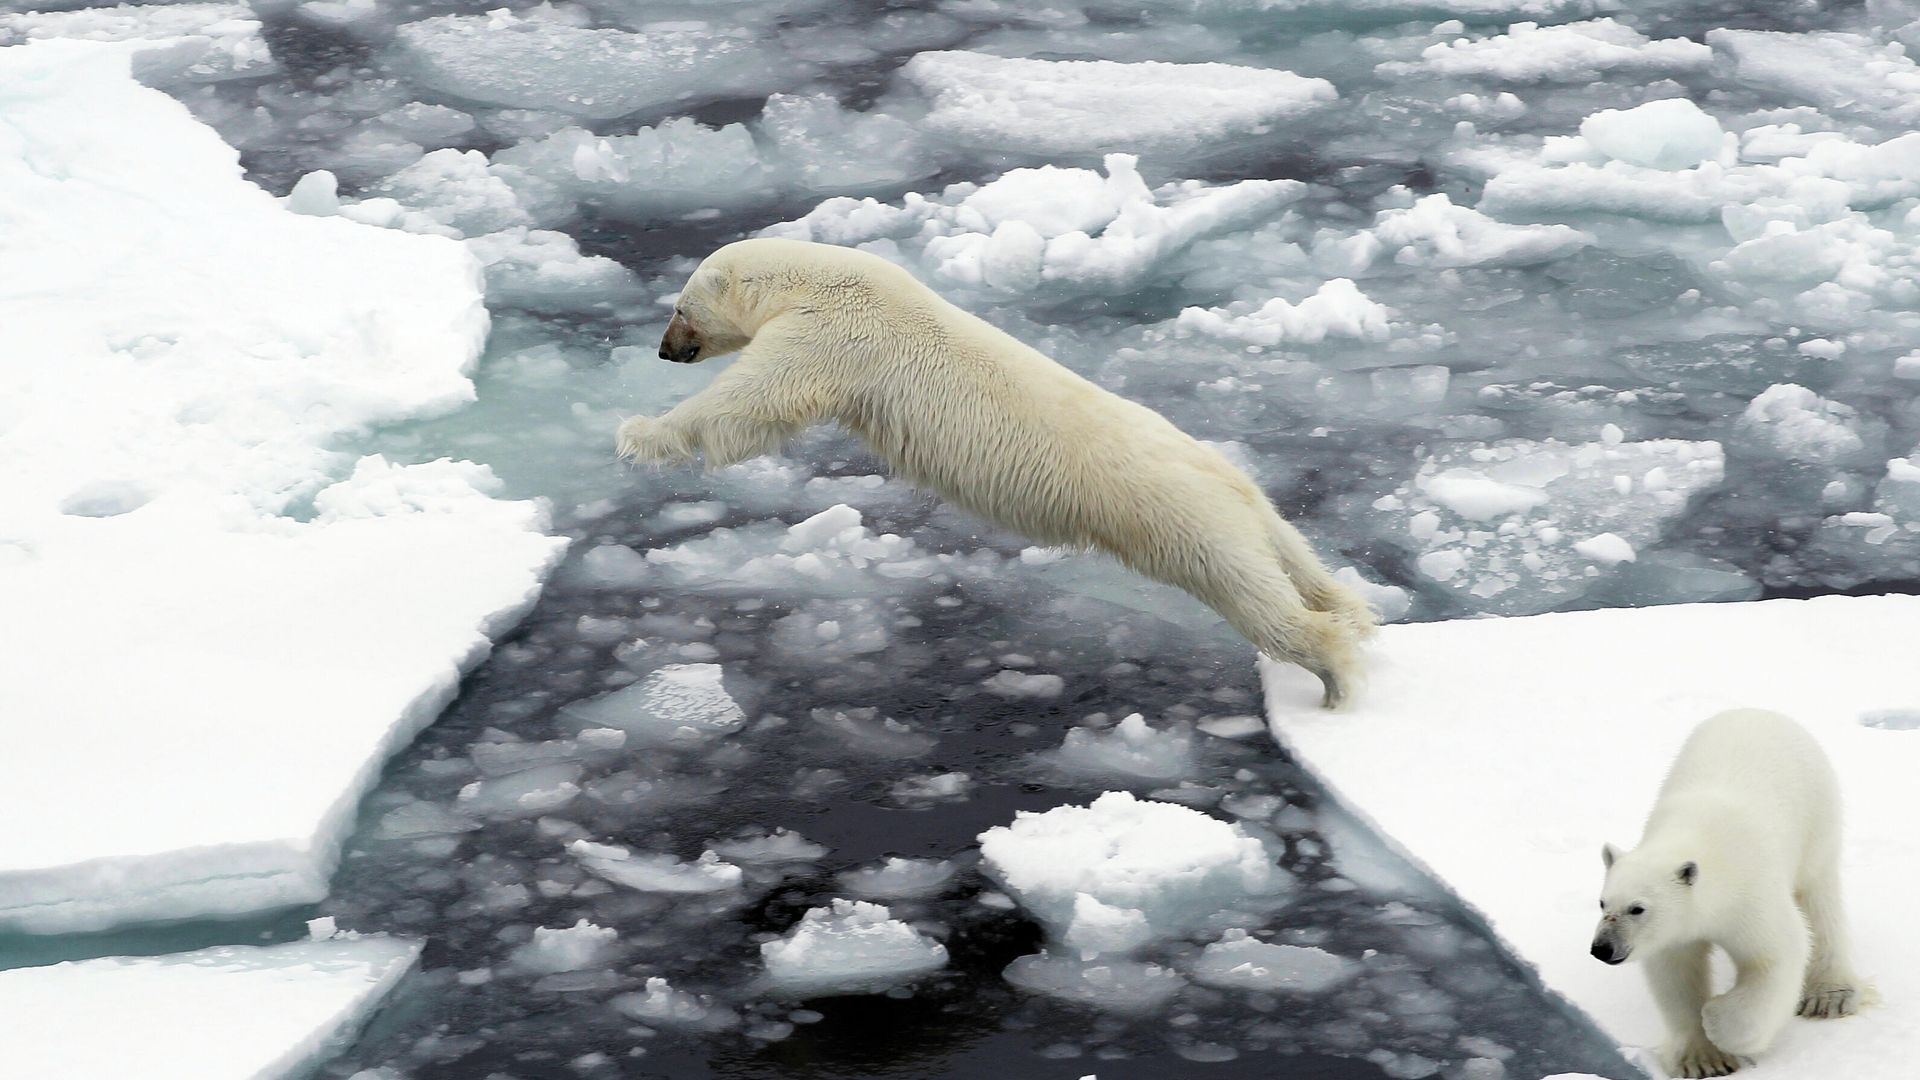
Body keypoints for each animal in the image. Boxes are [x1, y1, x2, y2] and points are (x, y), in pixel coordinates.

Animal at [615, 237, 1376, 707]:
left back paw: (1336, 678)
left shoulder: (832, 333)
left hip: (1183, 520)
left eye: (679, 308)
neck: (823, 277)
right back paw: (1353, 613)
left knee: (1251, 596)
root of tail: (1231, 483)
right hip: (1244, 507)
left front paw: (639, 433)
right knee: (1298, 562)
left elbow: (750, 401)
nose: (663, 351)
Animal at [1591, 708, 1864, 1078]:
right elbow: (1676, 973)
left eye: (1637, 908)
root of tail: (1758, 711)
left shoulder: (1750, 895)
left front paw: (1718, 1020)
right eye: (1602, 903)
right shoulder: (1677, 931)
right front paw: (1703, 1060)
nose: (1602, 948)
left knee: (1819, 898)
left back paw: (1829, 996)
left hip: (1817, 815)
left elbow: (1776, 955)